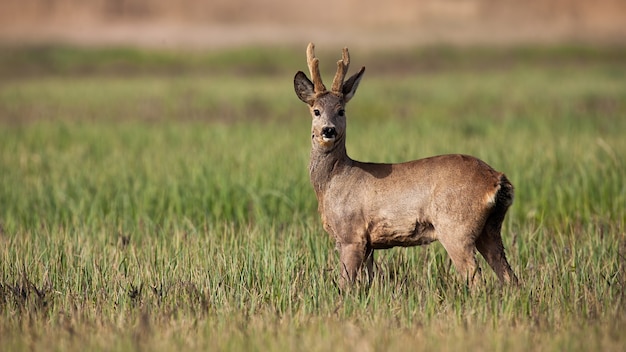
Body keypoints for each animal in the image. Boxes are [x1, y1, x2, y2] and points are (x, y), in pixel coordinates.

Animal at [292, 43, 516, 288]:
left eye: (341, 110)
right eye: (316, 111)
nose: (328, 130)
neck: (333, 181)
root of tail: (497, 179)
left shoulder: (351, 234)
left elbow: (345, 284)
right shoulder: (369, 243)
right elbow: (368, 282)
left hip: (456, 227)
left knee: (476, 278)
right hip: (490, 229)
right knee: (510, 277)